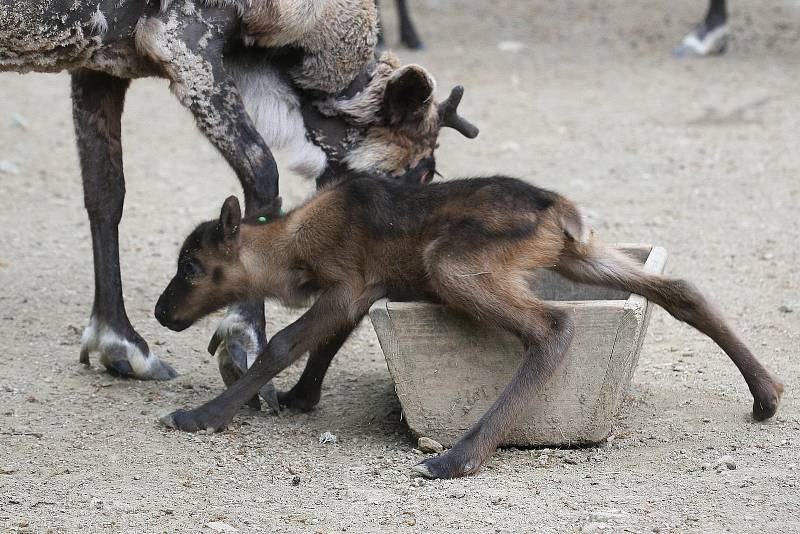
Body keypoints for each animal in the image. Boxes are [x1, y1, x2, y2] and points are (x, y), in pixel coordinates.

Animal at [153, 175, 784, 482]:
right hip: (578, 255)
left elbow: (283, 343)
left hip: (452, 263)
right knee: (680, 290)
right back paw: (767, 393)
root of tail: (560, 210)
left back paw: (458, 456)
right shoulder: (363, 292)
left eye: (191, 266)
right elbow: (322, 348)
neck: (288, 255)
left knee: (552, 325)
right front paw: (300, 398)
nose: (162, 312)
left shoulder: (348, 284)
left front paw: (203, 416)